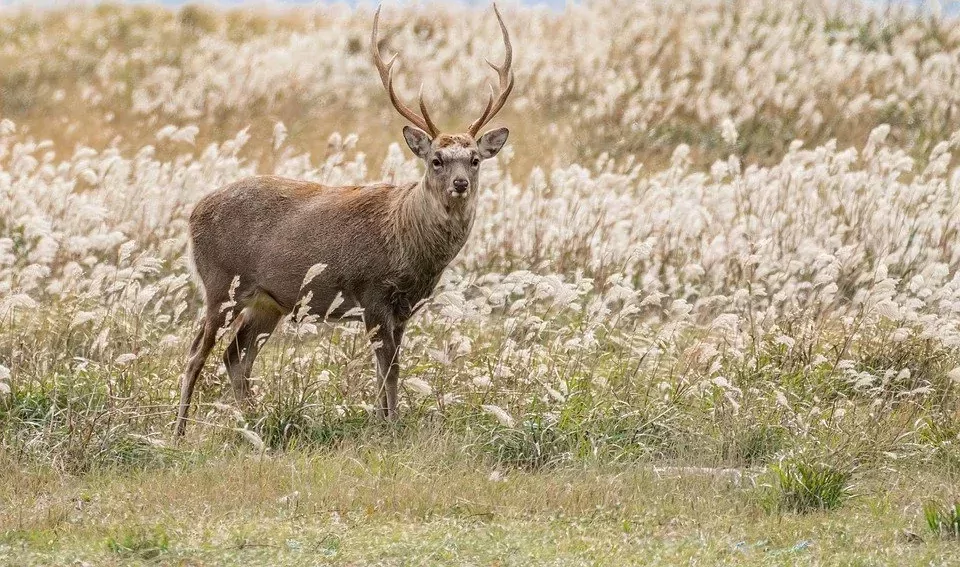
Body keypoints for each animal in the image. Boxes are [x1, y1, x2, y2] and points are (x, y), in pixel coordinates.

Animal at [175, 3, 512, 434]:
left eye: (474, 159)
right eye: (436, 159)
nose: (460, 184)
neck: (407, 239)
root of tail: (193, 213)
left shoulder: (404, 307)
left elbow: (390, 369)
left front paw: (385, 420)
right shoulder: (371, 291)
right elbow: (389, 371)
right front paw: (389, 427)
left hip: (267, 301)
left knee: (235, 355)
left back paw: (255, 421)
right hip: (220, 283)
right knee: (196, 352)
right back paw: (181, 430)